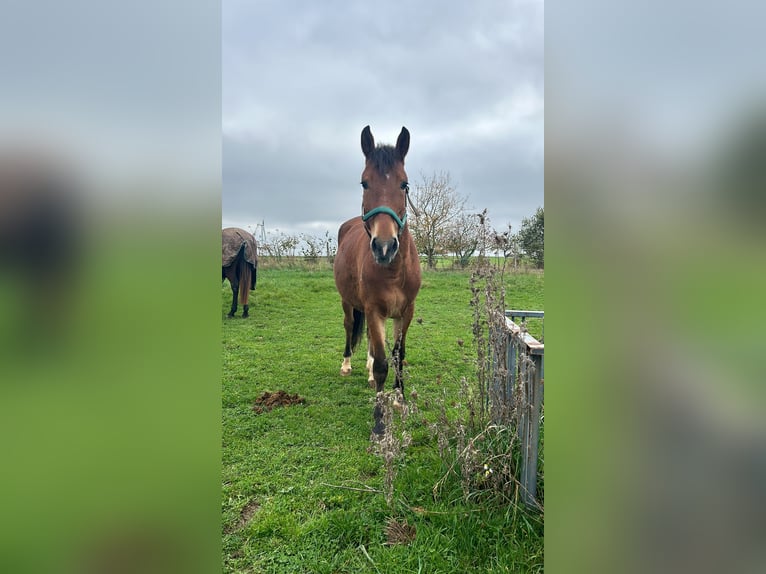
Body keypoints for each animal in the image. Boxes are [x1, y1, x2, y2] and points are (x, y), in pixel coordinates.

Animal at [332, 125, 424, 432]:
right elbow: (385, 362)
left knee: (373, 341)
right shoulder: (373, 310)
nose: (384, 246)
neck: (393, 272)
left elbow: (398, 356)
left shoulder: (405, 312)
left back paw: (370, 373)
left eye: (404, 184)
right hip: (349, 302)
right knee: (350, 327)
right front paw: (380, 419)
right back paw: (348, 365)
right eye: (364, 183)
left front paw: (399, 399)